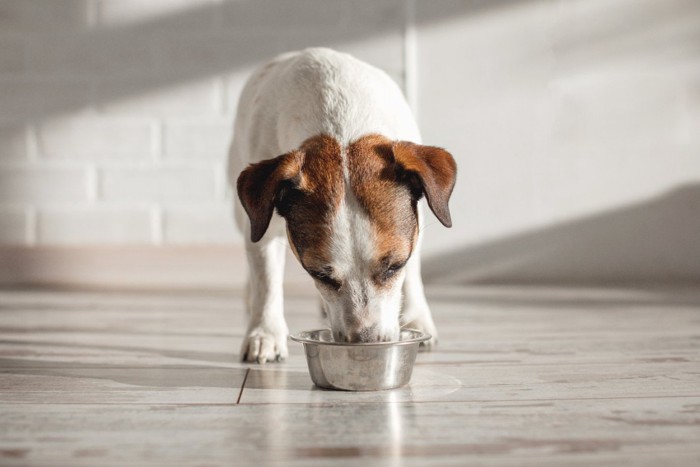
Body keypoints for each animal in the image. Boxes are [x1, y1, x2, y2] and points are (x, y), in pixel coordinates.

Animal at [230, 47, 456, 364]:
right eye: (319, 274)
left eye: (394, 266)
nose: (366, 341)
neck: (341, 124)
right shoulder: (265, 223)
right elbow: (266, 278)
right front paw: (265, 332)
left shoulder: (416, 223)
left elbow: (412, 270)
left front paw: (416, 317)